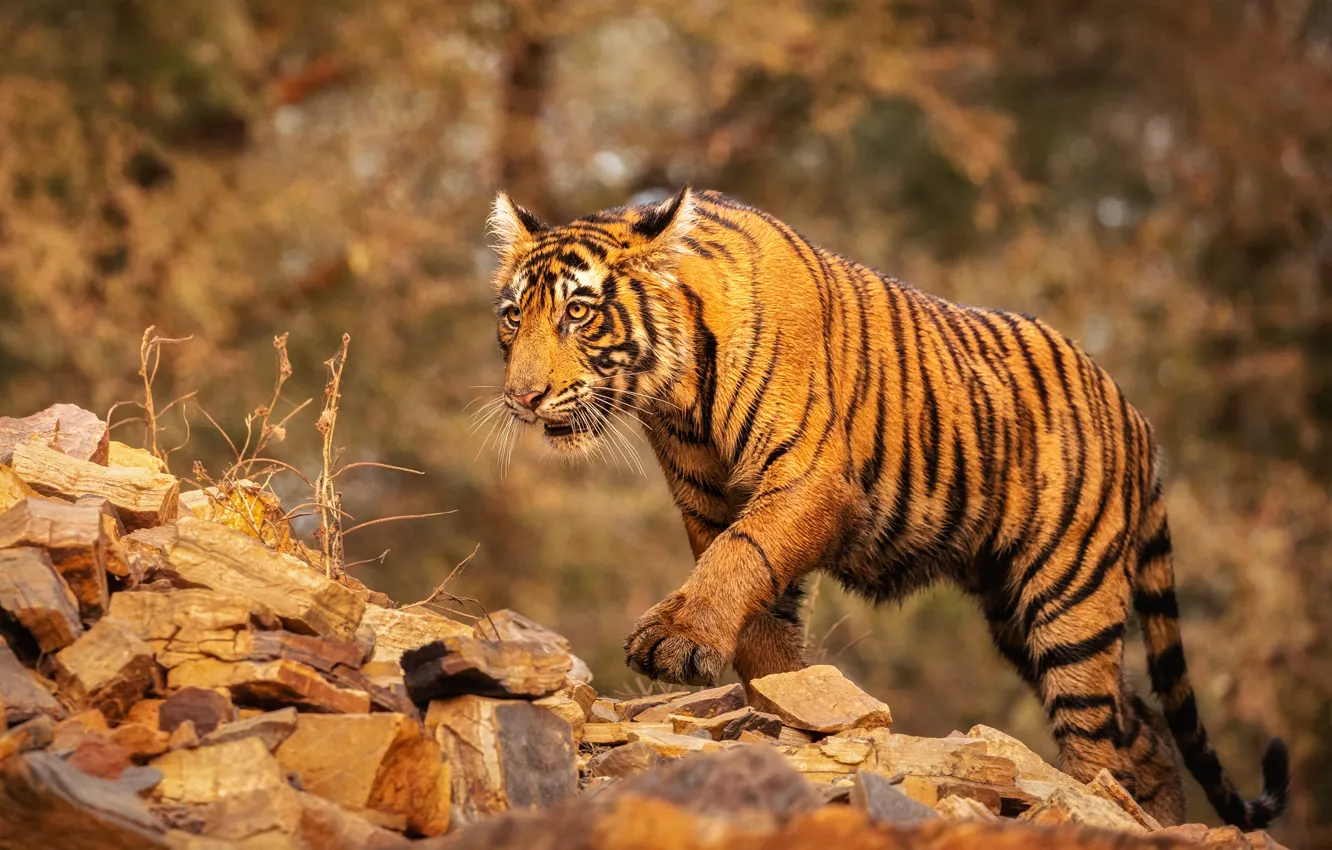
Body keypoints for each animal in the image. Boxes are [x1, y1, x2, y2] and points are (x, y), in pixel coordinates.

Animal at [484, 186, 1289, 829]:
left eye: (579, 313)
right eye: (512, 318)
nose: (521, 398)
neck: (677, 392)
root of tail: (1137, 416)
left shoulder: (809, 479)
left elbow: (742, 555)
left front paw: (678, 640)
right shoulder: (708, 501)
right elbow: (758, 612)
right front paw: (782, 706)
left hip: (1071, 598)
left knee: (1101, 737)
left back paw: (1104, 809)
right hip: (1014, 608)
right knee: (1144, 725)